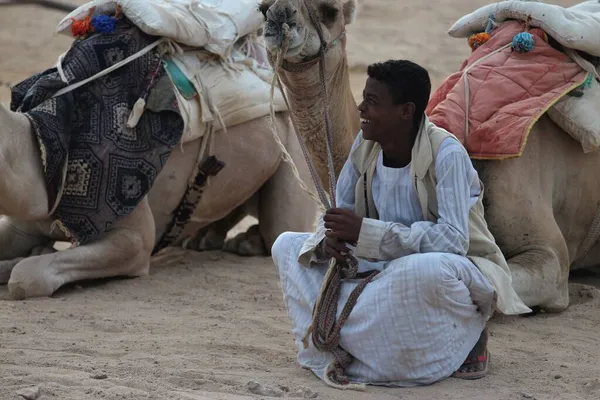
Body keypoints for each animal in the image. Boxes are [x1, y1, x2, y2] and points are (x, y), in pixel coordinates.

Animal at [0, 0, 356, 300]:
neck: (43, 142)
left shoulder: (132, 237)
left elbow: (27, 276)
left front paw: (27, 261)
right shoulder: (24, 221)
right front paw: (32, 252)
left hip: (293, 151)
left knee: (278, 228)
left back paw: (245, 240)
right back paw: (204, 237)